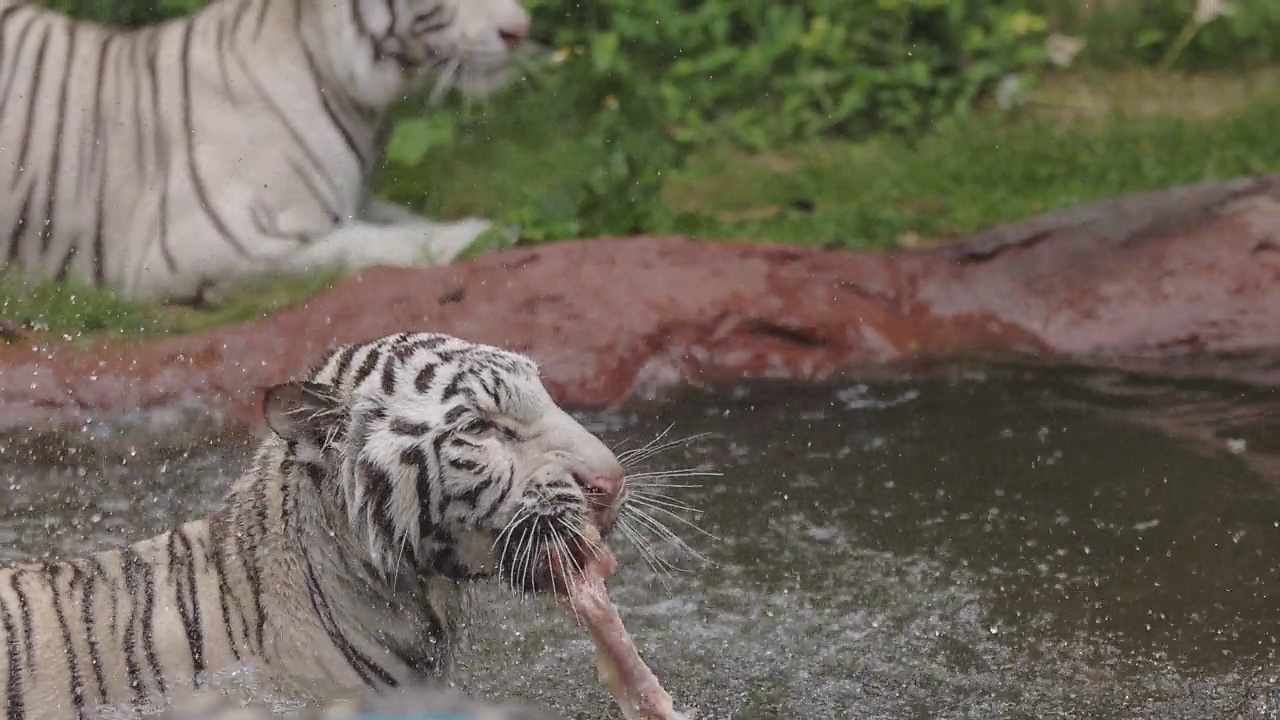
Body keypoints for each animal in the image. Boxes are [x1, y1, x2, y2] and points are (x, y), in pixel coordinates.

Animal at [0, 0, 529, 302]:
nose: (521, 30)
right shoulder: (199, 246)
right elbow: (364, 245)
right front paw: (478, 236)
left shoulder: (353, 202)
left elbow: (399, 220)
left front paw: (495, 225)